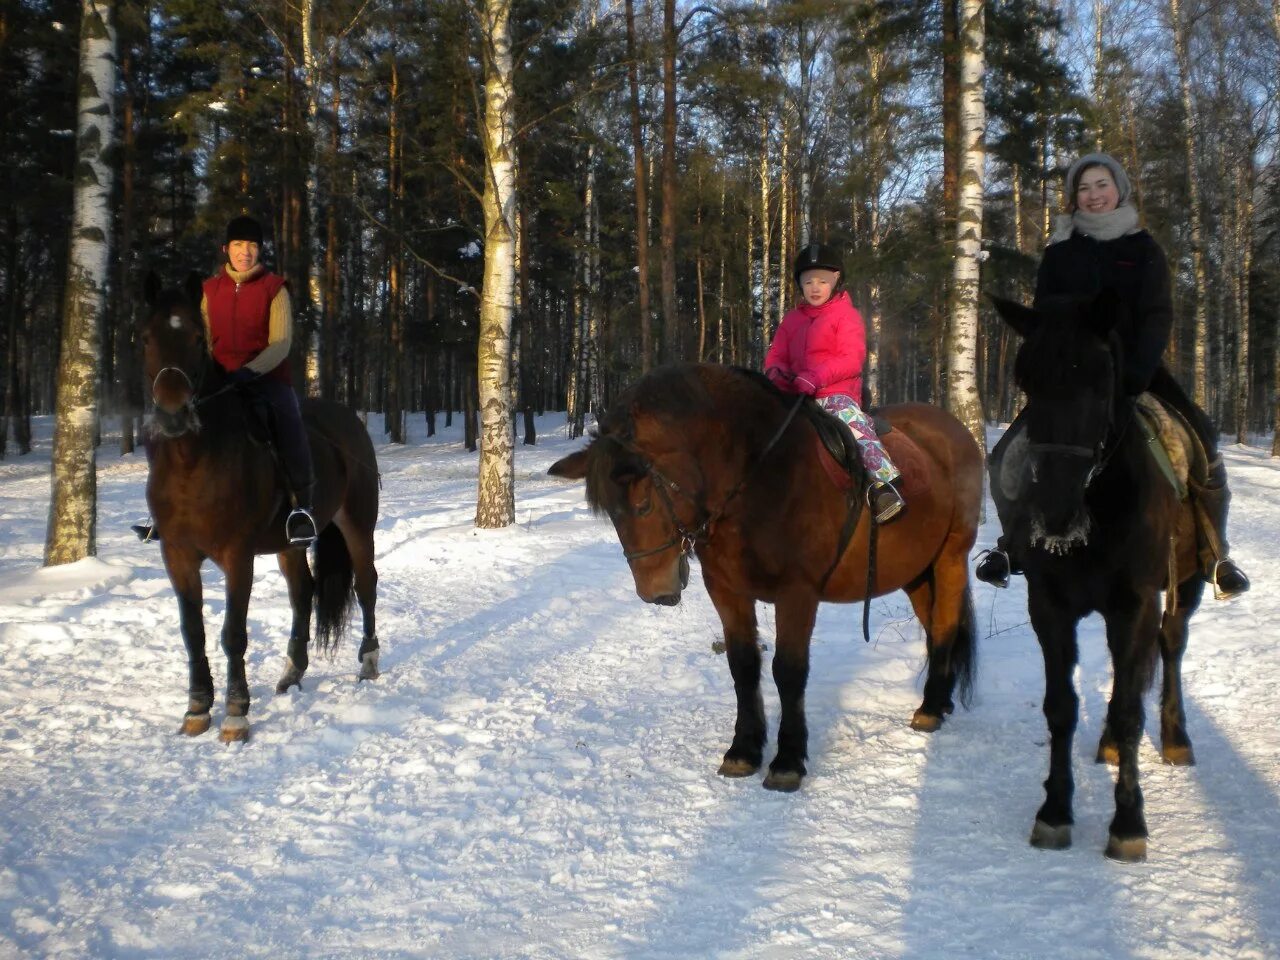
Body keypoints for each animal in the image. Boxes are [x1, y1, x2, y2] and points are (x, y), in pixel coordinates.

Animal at [141, 273, 378, 747]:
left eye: (198, 338)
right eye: (147, 337)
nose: (173, 414)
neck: (193, 463)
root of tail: (349, 419)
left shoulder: (238, 556)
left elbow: (233, 633)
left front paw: (236, 715)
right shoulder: (177, 555)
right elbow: (192, 632)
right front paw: (197, 708)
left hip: (358, 525)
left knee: (366, 586)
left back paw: (368, 662)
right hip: (290, 544)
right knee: (303, 594)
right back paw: (292, 674)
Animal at [547, 363, 977, 793]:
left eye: (643, 504)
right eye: (610, 512)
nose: (655, 592)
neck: (758, 481)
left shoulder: (797, 594)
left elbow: (788, 671)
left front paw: (787, 760)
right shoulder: (726, 590)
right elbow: (743, 666)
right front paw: (743, 750)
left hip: (950, 558)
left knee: (944, 624)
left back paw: (931, 708)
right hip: (916, 570)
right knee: (936, 627)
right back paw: (940, 700)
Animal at [988, 295, 1208, 865]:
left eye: (1101, 378)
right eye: (1027, 381)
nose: (1055, 512)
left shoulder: (1136, 605)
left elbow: (1131, 710)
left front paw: (1128, 824)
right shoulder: (1049, 607)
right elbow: (1062, 708)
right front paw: (1054, 812)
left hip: (1186, 589)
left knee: (1171, 648)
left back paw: (1177, 740)